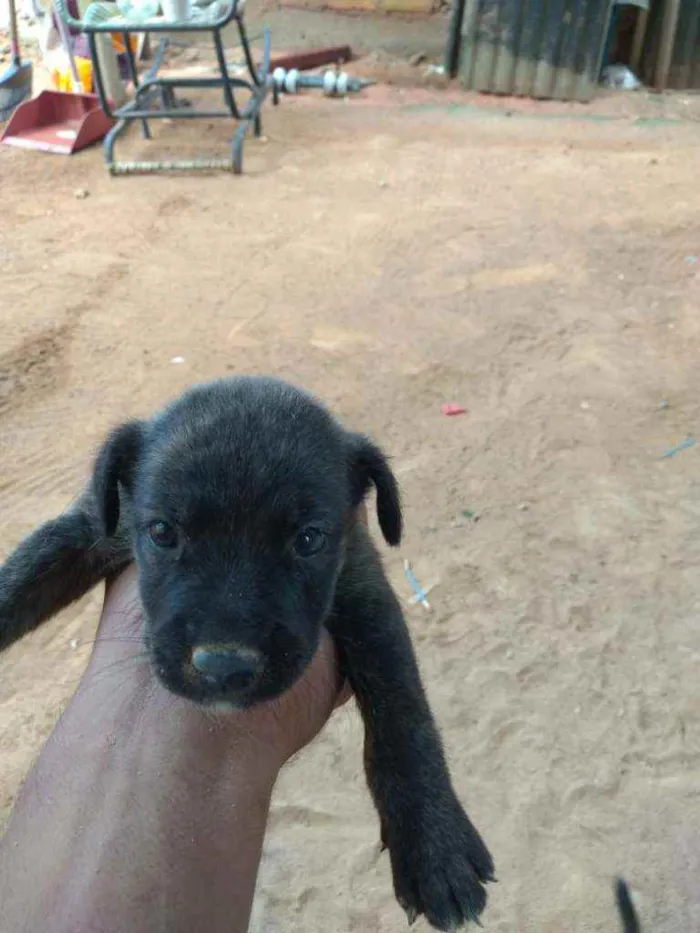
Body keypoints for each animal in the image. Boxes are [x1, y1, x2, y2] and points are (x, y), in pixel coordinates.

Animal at [0, 374, 494, 928]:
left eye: (308, 539)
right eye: (162, 532)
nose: (224, 668)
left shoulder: (363, 588)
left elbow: (403, 715)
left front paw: (435, 848)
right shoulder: (92, 527)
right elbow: (20, 577)